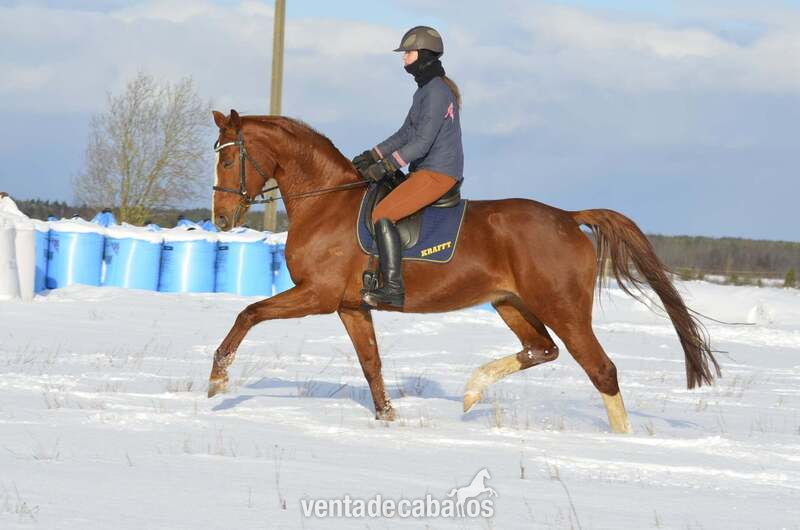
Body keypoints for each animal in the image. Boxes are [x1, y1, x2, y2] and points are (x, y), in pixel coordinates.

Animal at [207, 109, 719, 433]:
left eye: (229, 158)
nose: (222, 220)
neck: (326, 203)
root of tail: (568, 217)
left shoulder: (317, 295)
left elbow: (248, 314)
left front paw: (217, 381)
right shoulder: (351, 307)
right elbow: (371, 364)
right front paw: (388, 419)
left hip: (563, 308)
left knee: (601, 370)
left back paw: (621, 441)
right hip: (512, 303)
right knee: (542, 349)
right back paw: (473, 391)